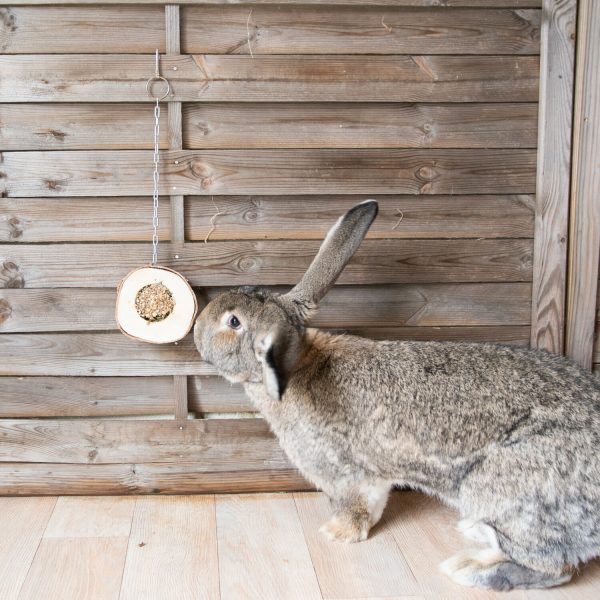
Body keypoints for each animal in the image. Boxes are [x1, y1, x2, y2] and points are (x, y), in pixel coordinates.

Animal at [196, 200, 600, 592]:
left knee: (553, 567)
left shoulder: (346, 473)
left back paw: (470, 569)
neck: (297, 367)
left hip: (508, 493)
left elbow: (356, 507)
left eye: (233, 322)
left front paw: (336, 534)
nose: (198, 325)